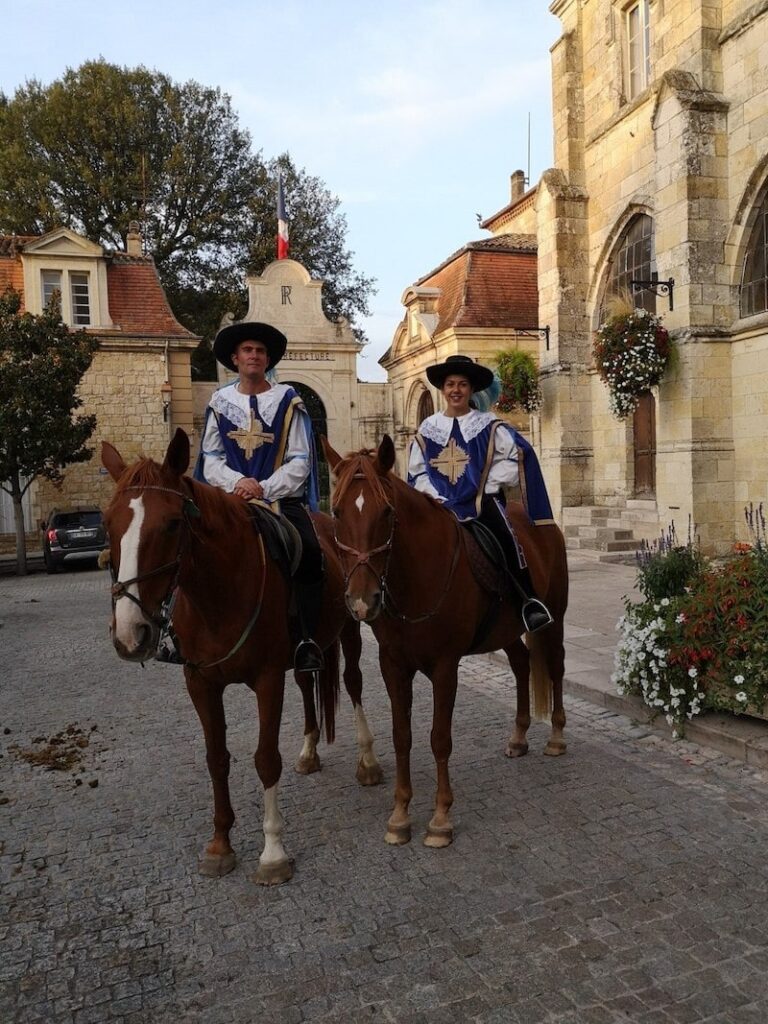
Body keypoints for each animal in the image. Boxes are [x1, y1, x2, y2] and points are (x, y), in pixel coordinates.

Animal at [100, 428, 382, 884]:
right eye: (108, 523)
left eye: (172, 523)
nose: (130, 634)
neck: (218, 593)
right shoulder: (200, 683)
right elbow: (217, 759)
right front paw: (220, 845)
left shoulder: (267, 679)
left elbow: (265, 760)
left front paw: (273, 852)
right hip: (304, 652)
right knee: (306, 684)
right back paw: (309, 752)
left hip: (351, 626)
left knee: (353, 684)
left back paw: (368, 761)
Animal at [325, 436, 573, 843]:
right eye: (336, 512)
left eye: (387, 512)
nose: (362, 601)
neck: (414, 579)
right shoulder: (393, 665)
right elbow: (402, 736)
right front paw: (400, 815)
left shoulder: (444, 667)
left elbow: (439, 737)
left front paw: (440, 818)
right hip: (505, 631)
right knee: (522, 665)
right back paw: (518, 737)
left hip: (554, 619)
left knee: (554, 668)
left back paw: (555, 736)